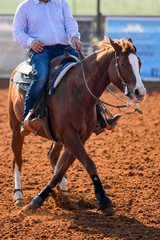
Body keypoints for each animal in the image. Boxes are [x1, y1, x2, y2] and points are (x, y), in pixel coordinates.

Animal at [8, 38, 146, 216]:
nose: (140, 93)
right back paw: (18, 196)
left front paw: (41, 198)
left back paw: (63, 192)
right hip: (15, 127)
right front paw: (104, 199)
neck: (77, 92)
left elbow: (61, 170)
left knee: (53, 156)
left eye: (139, 63)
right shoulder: (69, 135)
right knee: (17, 159)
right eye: (122, 64)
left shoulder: (80, 137)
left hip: (57, 137)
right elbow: (88, 163)